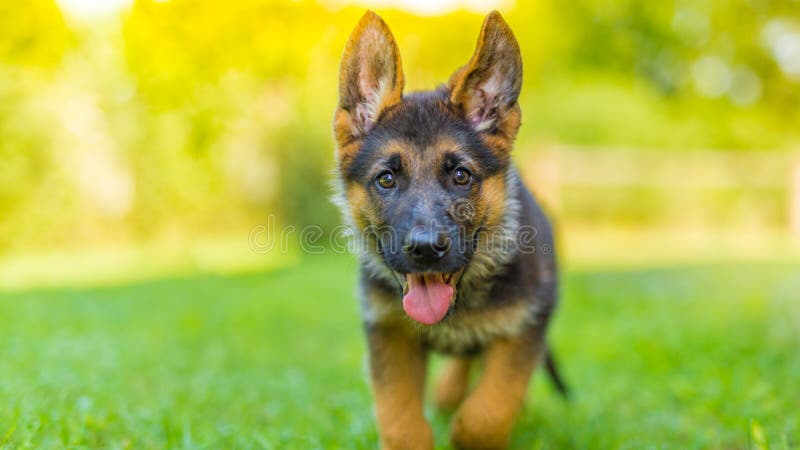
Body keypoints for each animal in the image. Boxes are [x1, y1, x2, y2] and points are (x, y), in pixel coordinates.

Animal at [332, 10, 564, 450]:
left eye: (460, 176)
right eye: (386, 179)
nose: (425, 249)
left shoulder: (523, 328)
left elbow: (489, 412)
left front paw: (467, 431)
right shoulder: (389, 334)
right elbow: (401, 423)